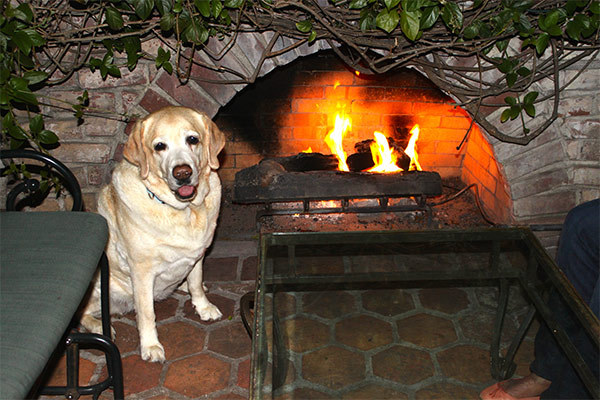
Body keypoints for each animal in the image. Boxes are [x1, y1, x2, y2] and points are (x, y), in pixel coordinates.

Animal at [81, 106, 226, 362]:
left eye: (192, 140)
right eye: (159, 146)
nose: (182, 173)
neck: (184, 211)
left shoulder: (198, 254)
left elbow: (196, 283)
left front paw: (204, 306)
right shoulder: (141, 270)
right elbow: (147, 313)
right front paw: (150, 346)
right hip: (100, 285)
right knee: (82, 315)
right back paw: (99, 326)